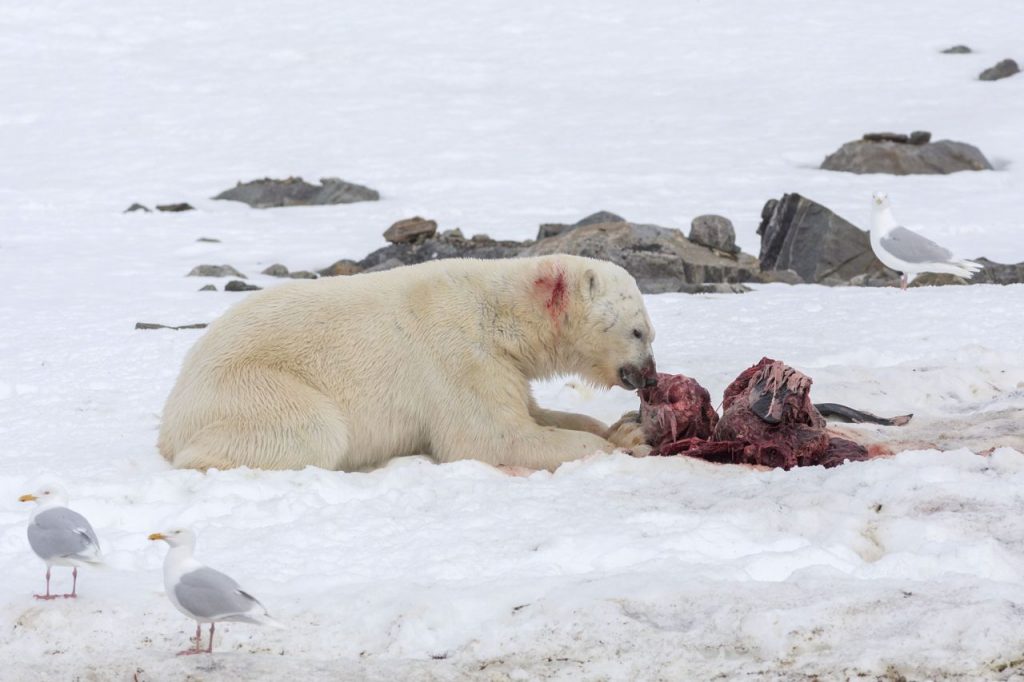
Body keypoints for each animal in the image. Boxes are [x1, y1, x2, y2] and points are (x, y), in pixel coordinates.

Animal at [157, 251, 655, 471]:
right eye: (638, 331)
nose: (649, 377)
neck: (499, 313)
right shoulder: (459, 357)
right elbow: (492, 437)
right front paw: (628, 445)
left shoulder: (502, 366)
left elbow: (533, 412)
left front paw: (621, 428)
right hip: (251, 387)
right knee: (311, 430)